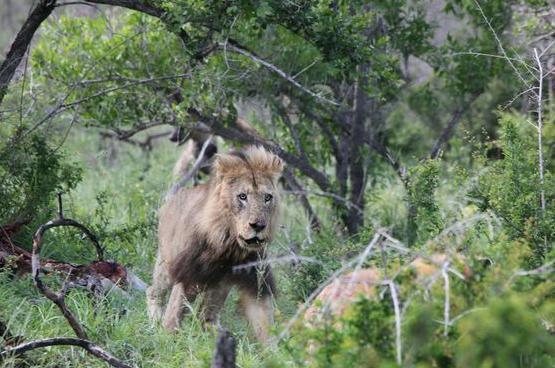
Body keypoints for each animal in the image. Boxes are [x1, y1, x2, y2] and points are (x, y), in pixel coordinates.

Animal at [146, 145, 284, 340]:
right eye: (242, 196)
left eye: (267, 198)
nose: (258, 225)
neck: (228, 245)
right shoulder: (187, 274)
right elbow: (173, 315)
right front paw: (166, 339)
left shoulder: (256, 282)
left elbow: (265, 322)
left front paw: (277, 347)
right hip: (166, 264)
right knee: (153, 291)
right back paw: (155, 321)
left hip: (218, 285)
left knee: (206, 316)